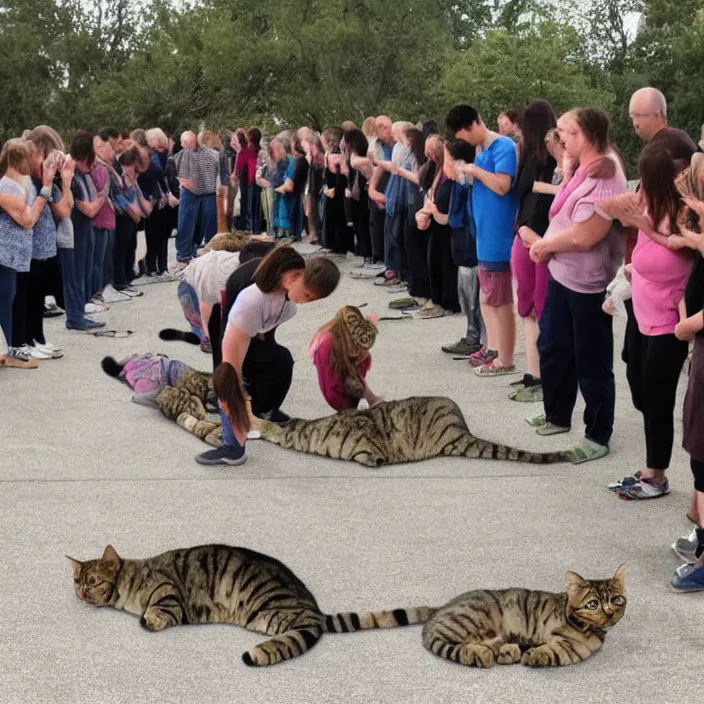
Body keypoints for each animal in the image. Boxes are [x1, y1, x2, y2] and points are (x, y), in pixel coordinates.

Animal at [67, 544, 428, 664]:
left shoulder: (167, 590)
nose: (81, 594)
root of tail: (314, 608)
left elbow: (160, 609)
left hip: (274, 614)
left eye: (93, 581)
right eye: (76, 581)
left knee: (305, 632)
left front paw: (149, 619)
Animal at [420, 568, 624, 672]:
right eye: (593, 604)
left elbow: (549, 653)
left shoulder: (570, 648)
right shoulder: (568, 644)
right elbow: (547, 652)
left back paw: (506, 651)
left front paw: (532, 653)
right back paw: (481, 654)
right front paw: (532, 654)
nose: (609, 613)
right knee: (454, 644)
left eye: (617, 600)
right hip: (471, 620)